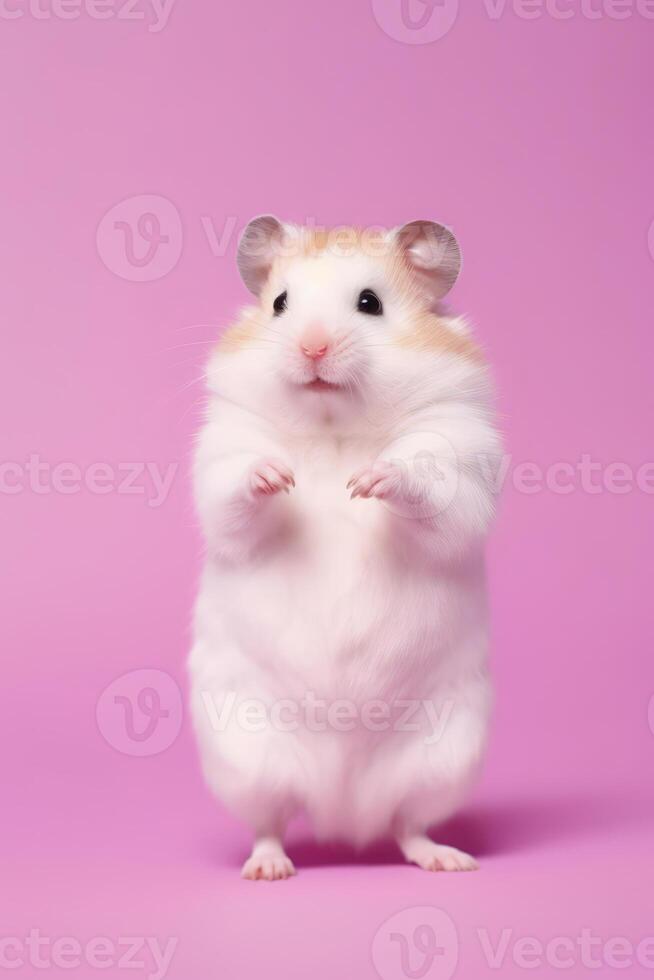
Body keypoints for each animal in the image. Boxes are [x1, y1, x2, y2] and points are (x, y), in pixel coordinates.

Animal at [190, 216, 502, 880]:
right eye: (279, 304)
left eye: (370, 303)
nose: (312, 348)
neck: (334, 425)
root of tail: (341, 808)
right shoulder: (223, 451)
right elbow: (234, 492)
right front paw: (276, 477)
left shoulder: (459, 452)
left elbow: (424, 481)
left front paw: (369, 482)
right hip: (247, 760)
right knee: (269, 824)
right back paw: (268, 869)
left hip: (444, 759)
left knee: (409, 825)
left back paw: (448, 860)